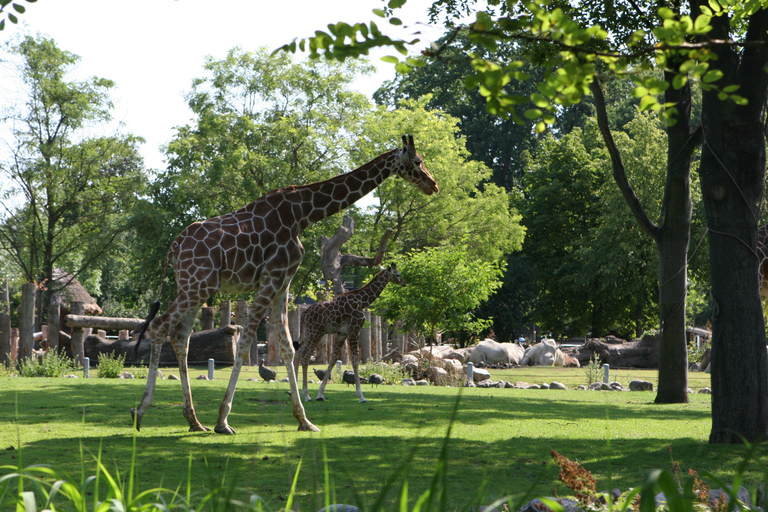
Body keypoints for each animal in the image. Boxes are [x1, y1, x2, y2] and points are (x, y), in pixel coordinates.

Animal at [294, 266, 404, 402]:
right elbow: (355, 360)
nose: (404, 283)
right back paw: (306, 395)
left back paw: (296, 391)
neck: (362, 301)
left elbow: (333, 360)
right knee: (305, 355)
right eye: (398, 274)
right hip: (316, 332)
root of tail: (303, 314)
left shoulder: (342, 333)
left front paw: (320, 394)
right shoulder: (354, 329)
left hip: (308, 332)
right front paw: (361, 396)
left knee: (298, 351)